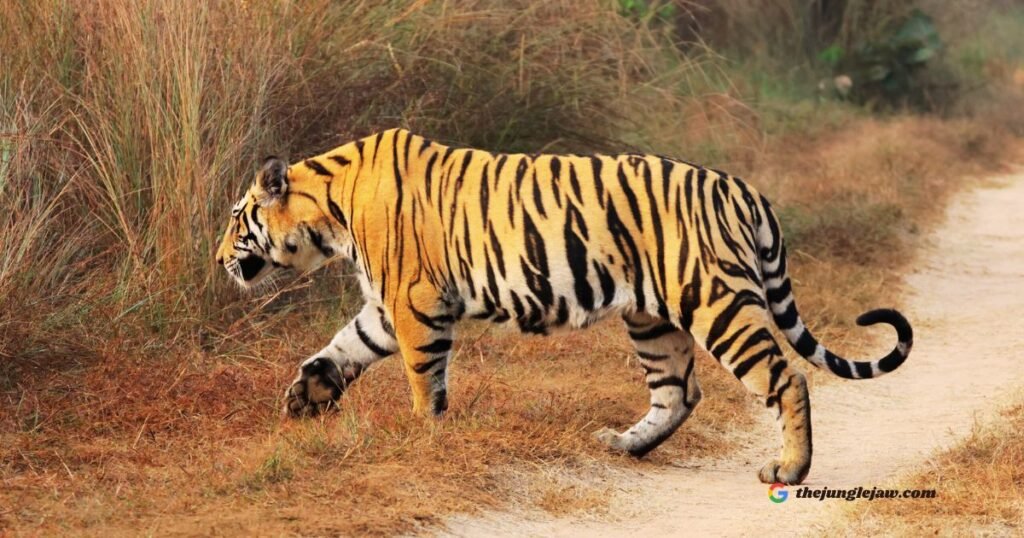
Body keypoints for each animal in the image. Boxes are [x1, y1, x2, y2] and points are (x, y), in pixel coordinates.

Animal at [215, 127, 912, 485]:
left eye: (235, 220)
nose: (218, 257)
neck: (328, 211)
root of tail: (745, 189)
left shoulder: (416, 302)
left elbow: (422, 378)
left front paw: (424, 435)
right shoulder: (389, 307)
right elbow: (341, 349)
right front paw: (304, 397)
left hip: (716, 303)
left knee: (785, 378)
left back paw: (790, 469)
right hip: (652, 318)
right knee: (679, 393)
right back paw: (624, 446)